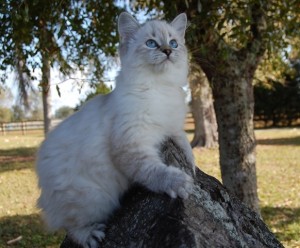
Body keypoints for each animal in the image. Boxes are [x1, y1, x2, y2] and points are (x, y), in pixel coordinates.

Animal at [36, 12, 195, 248]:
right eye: (151, 43)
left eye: (174, 43)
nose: (167, 51)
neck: (159, 88)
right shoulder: (130, 144)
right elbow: (154, 171)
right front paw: (179, 182)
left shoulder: (172, 127)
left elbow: (184, 142)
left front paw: (192, 165)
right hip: (95, 199)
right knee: (71, 227)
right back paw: (91, 236)